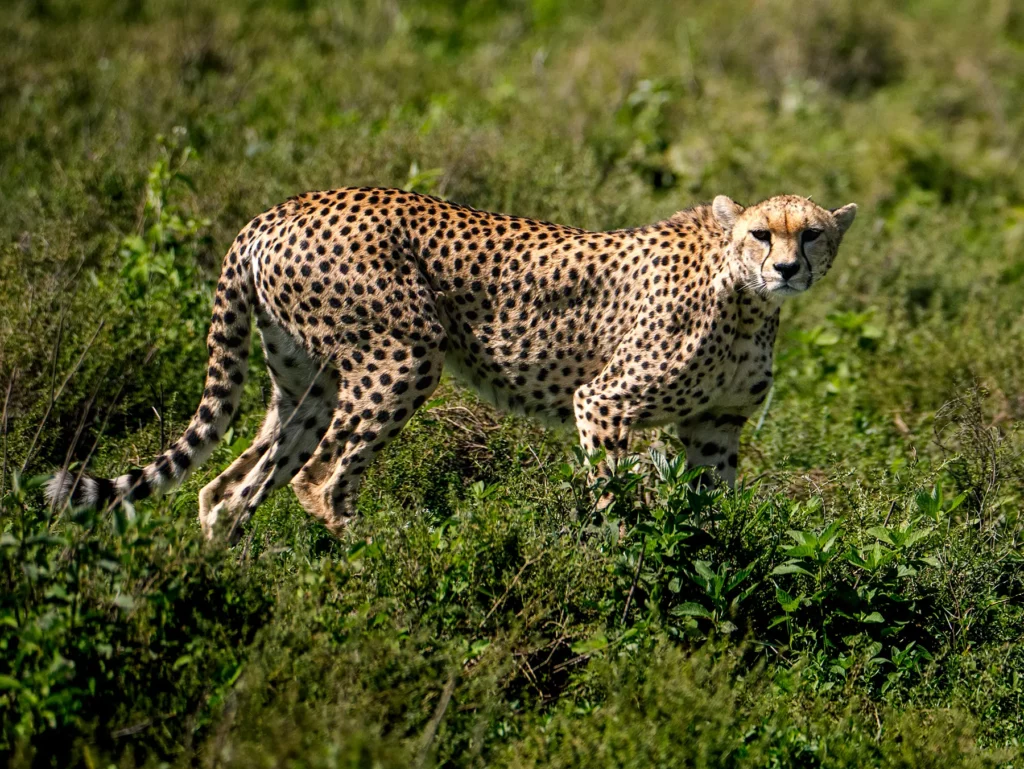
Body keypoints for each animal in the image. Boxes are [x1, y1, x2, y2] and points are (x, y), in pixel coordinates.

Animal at [45, 187, 856, 540]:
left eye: (811, 233)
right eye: (761, 234)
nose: (787, 268)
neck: (745, 297)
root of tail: (280, 208)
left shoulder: (713, 428)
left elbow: (713, 511)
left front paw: (710, 561)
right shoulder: (605, 402)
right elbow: (616, 496)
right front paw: (628, 562)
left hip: (308, 381)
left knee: (227, 490)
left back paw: (236, 592)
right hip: (403, 354)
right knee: (318, 479)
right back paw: (377, 567)